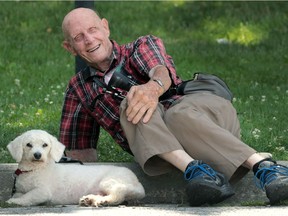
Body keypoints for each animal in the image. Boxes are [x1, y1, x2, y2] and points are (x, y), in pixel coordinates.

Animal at [6, 129, 146, 207]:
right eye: (28, 145)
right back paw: (90, 200)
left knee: (119, 193)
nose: (37, 155)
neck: (34, 170)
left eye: (45, 145)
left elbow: (28, 197)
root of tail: (137, 182)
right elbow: (19, 194)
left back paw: (105, 201)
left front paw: (13, 202)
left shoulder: (43, 191)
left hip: (110, 181)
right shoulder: (19, 190)